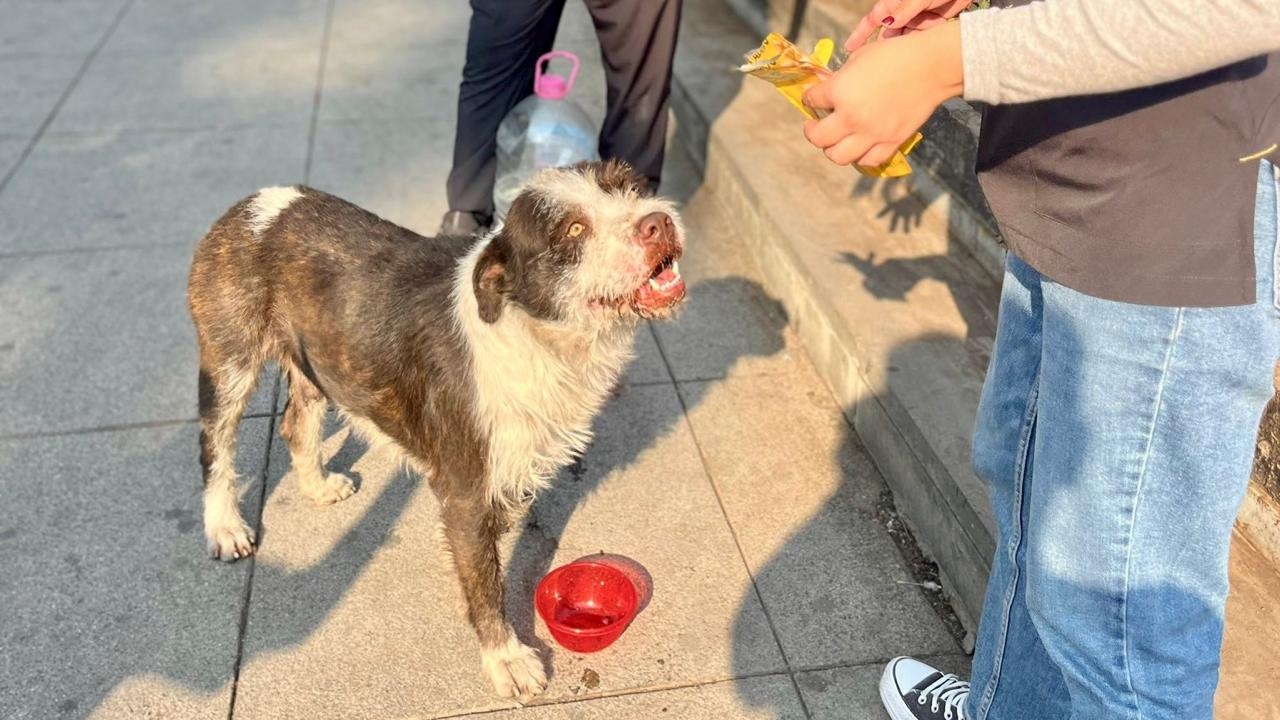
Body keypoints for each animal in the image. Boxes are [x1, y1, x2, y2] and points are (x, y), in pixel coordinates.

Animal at [185, 159, 686, 696]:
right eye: (572, 230)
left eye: (631, 186)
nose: (658, 222)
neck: (533, 334)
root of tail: (252, 203)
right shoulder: (464, 492)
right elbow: (484, 582)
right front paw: (505, 657)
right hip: (230, 361)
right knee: (215, 446)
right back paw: (224, 526)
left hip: (317, 356)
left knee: (297, 421)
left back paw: (316, 485)